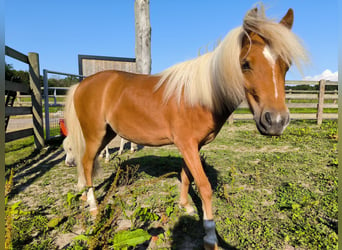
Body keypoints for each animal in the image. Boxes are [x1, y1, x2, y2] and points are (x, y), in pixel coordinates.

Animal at [65, 6, 308, 249]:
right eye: (246, 63)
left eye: (286, 65)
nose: (276, 121)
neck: (201, 95)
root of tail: (82, 84)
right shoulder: (187, 144)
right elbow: (204, 186)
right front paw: (210, 237)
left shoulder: (192, 146)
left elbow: (186, 175)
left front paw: (185, 205)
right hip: (95, 134)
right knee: (86, 163)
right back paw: (93, 207)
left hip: (107, 134)